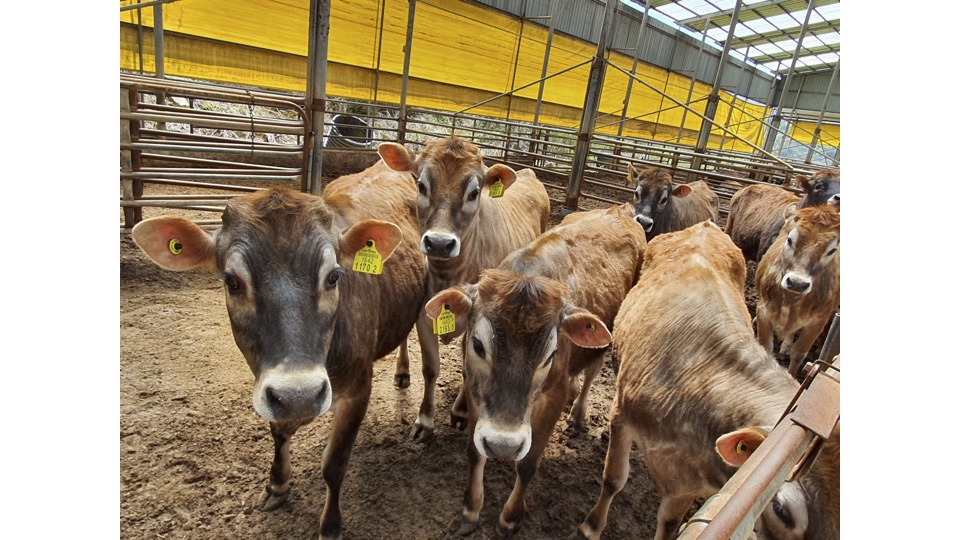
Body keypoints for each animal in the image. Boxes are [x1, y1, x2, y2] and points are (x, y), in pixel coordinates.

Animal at [129, 166, 427, 540]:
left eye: (333, 276)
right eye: (231, 281)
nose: (301, 395)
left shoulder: (359, 388)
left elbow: (334, 465)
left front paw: (330, 525)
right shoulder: (270, 390)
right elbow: (279, 432)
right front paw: (277, 484)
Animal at [378, 136, 551, 442]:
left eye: (474, 193)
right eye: (421, 185)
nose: (439, 243)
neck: (449, 275)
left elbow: (468, 371)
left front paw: (460, 412)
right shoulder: (424, 315)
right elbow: (430, 368)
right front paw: (425, 420)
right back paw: (402, 371)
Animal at [426, 201, 646, 537]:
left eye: (549, 355)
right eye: (477, 345)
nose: (502, 445)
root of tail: (619, 208)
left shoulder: (552, 395)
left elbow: (528, 462)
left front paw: (510, 517)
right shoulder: (477, 391)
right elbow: (475, 452)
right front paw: (471, 508)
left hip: (604, 341)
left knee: (592, 371)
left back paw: (578, 412)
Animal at [756, 204, 840, 378]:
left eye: (831, 250)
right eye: (790, 240)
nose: (797, 283)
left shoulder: (817, 321)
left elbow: (799, 353)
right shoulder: (763, 309)